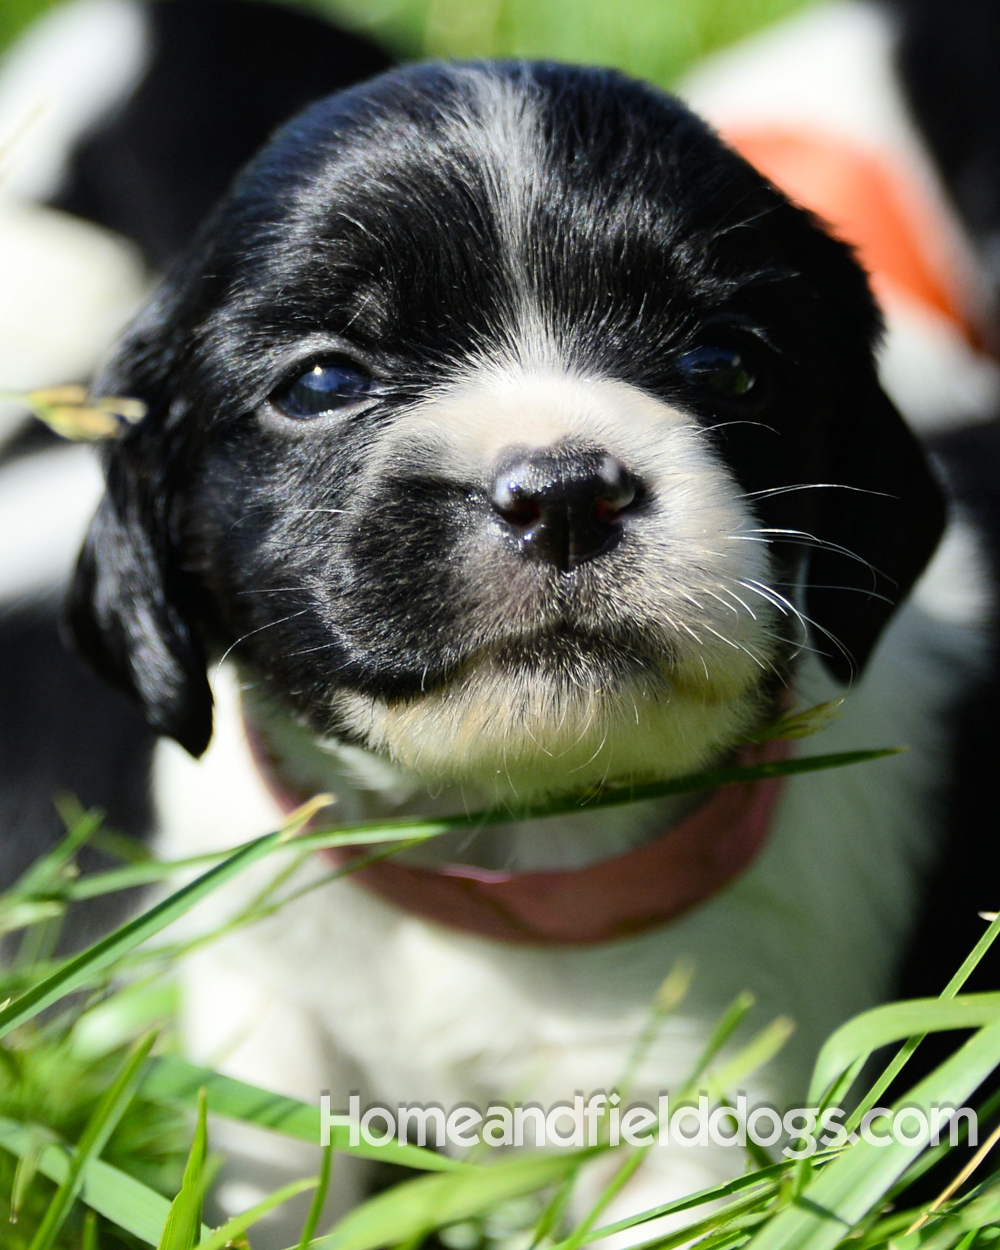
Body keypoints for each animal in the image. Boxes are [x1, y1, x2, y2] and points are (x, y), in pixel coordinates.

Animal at [60, 51, 990, 1240]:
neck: (491, 851)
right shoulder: (264, 1008)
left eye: (725, 363)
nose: (564, 495)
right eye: (321, 382)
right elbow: (260, 1180)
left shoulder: (698, 1107)